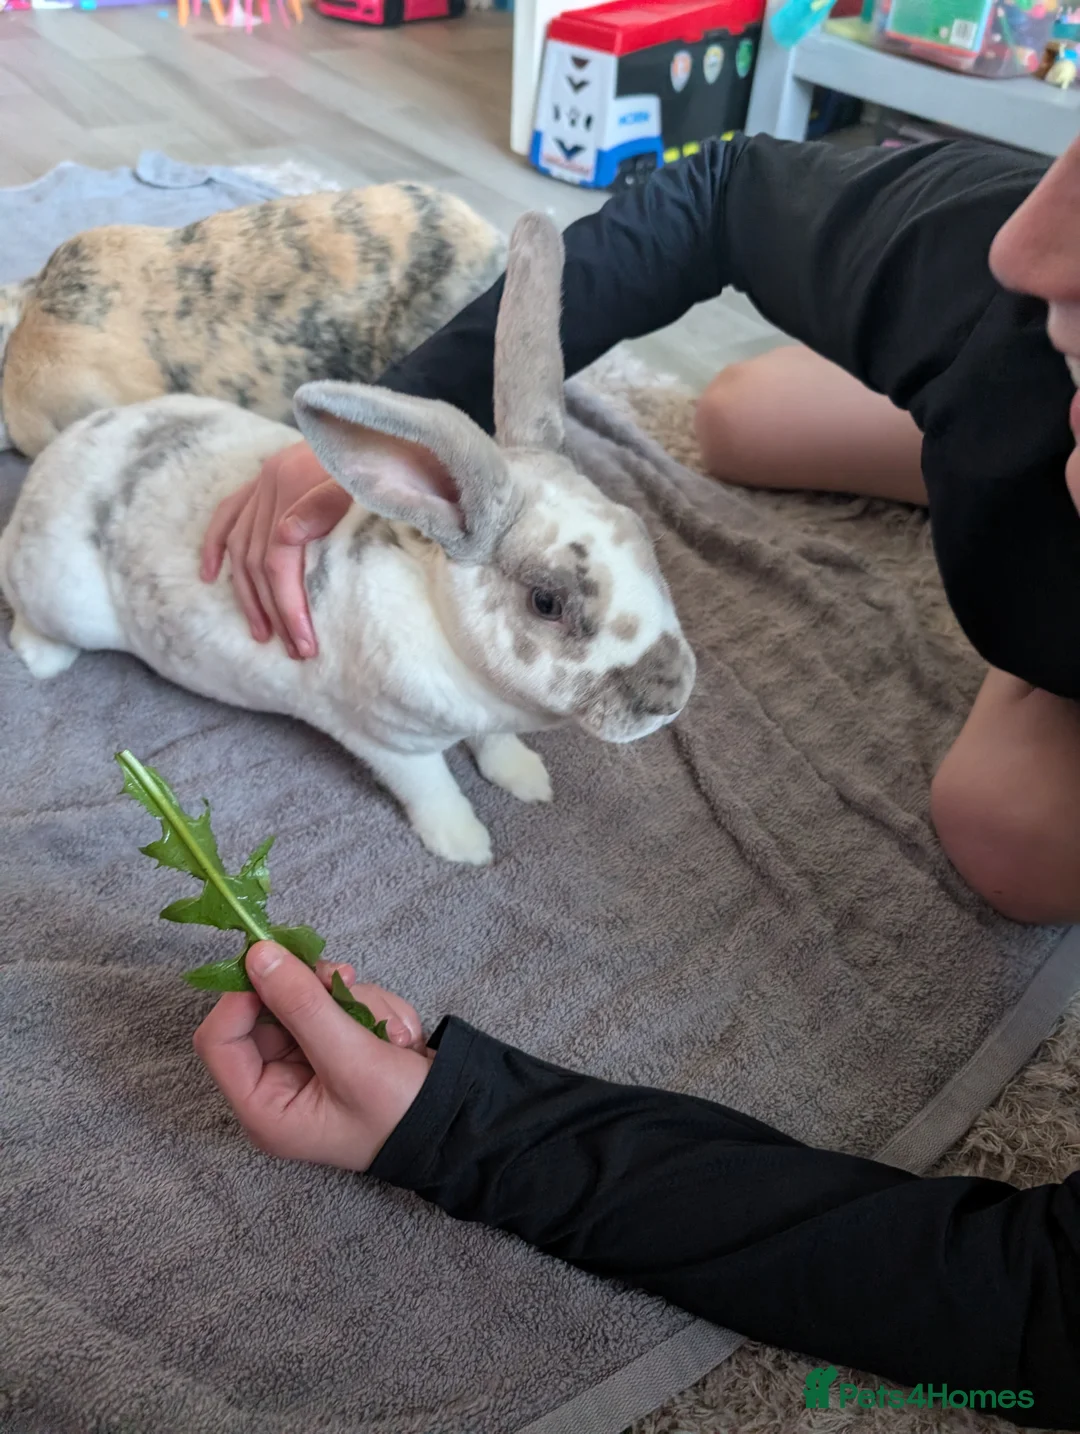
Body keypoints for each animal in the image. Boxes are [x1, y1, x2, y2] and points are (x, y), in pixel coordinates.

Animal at [0, 213, 696, 865]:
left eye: (643, 538)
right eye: (546, 602)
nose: (673, 694)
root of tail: (52, 462)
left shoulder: (485, 720)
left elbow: (494, 745)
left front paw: (528, 779)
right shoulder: (385, 741)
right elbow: (434, 789)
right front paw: (466, 845)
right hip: (65, 601)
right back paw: (42, 659)